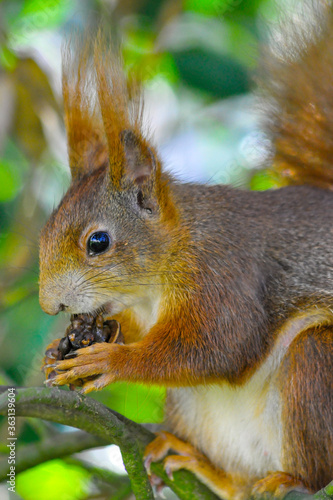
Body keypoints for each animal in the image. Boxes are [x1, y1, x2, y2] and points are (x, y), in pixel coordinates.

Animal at [38, 2, 330, 496]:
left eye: (98, 242)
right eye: (43, 234)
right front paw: (64, 347)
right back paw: (196, 461)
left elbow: (219, 345)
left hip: (317, 365)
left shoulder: (224, 272)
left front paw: (113, 358)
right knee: (235, 484)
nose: (47, 304)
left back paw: (290, 477)